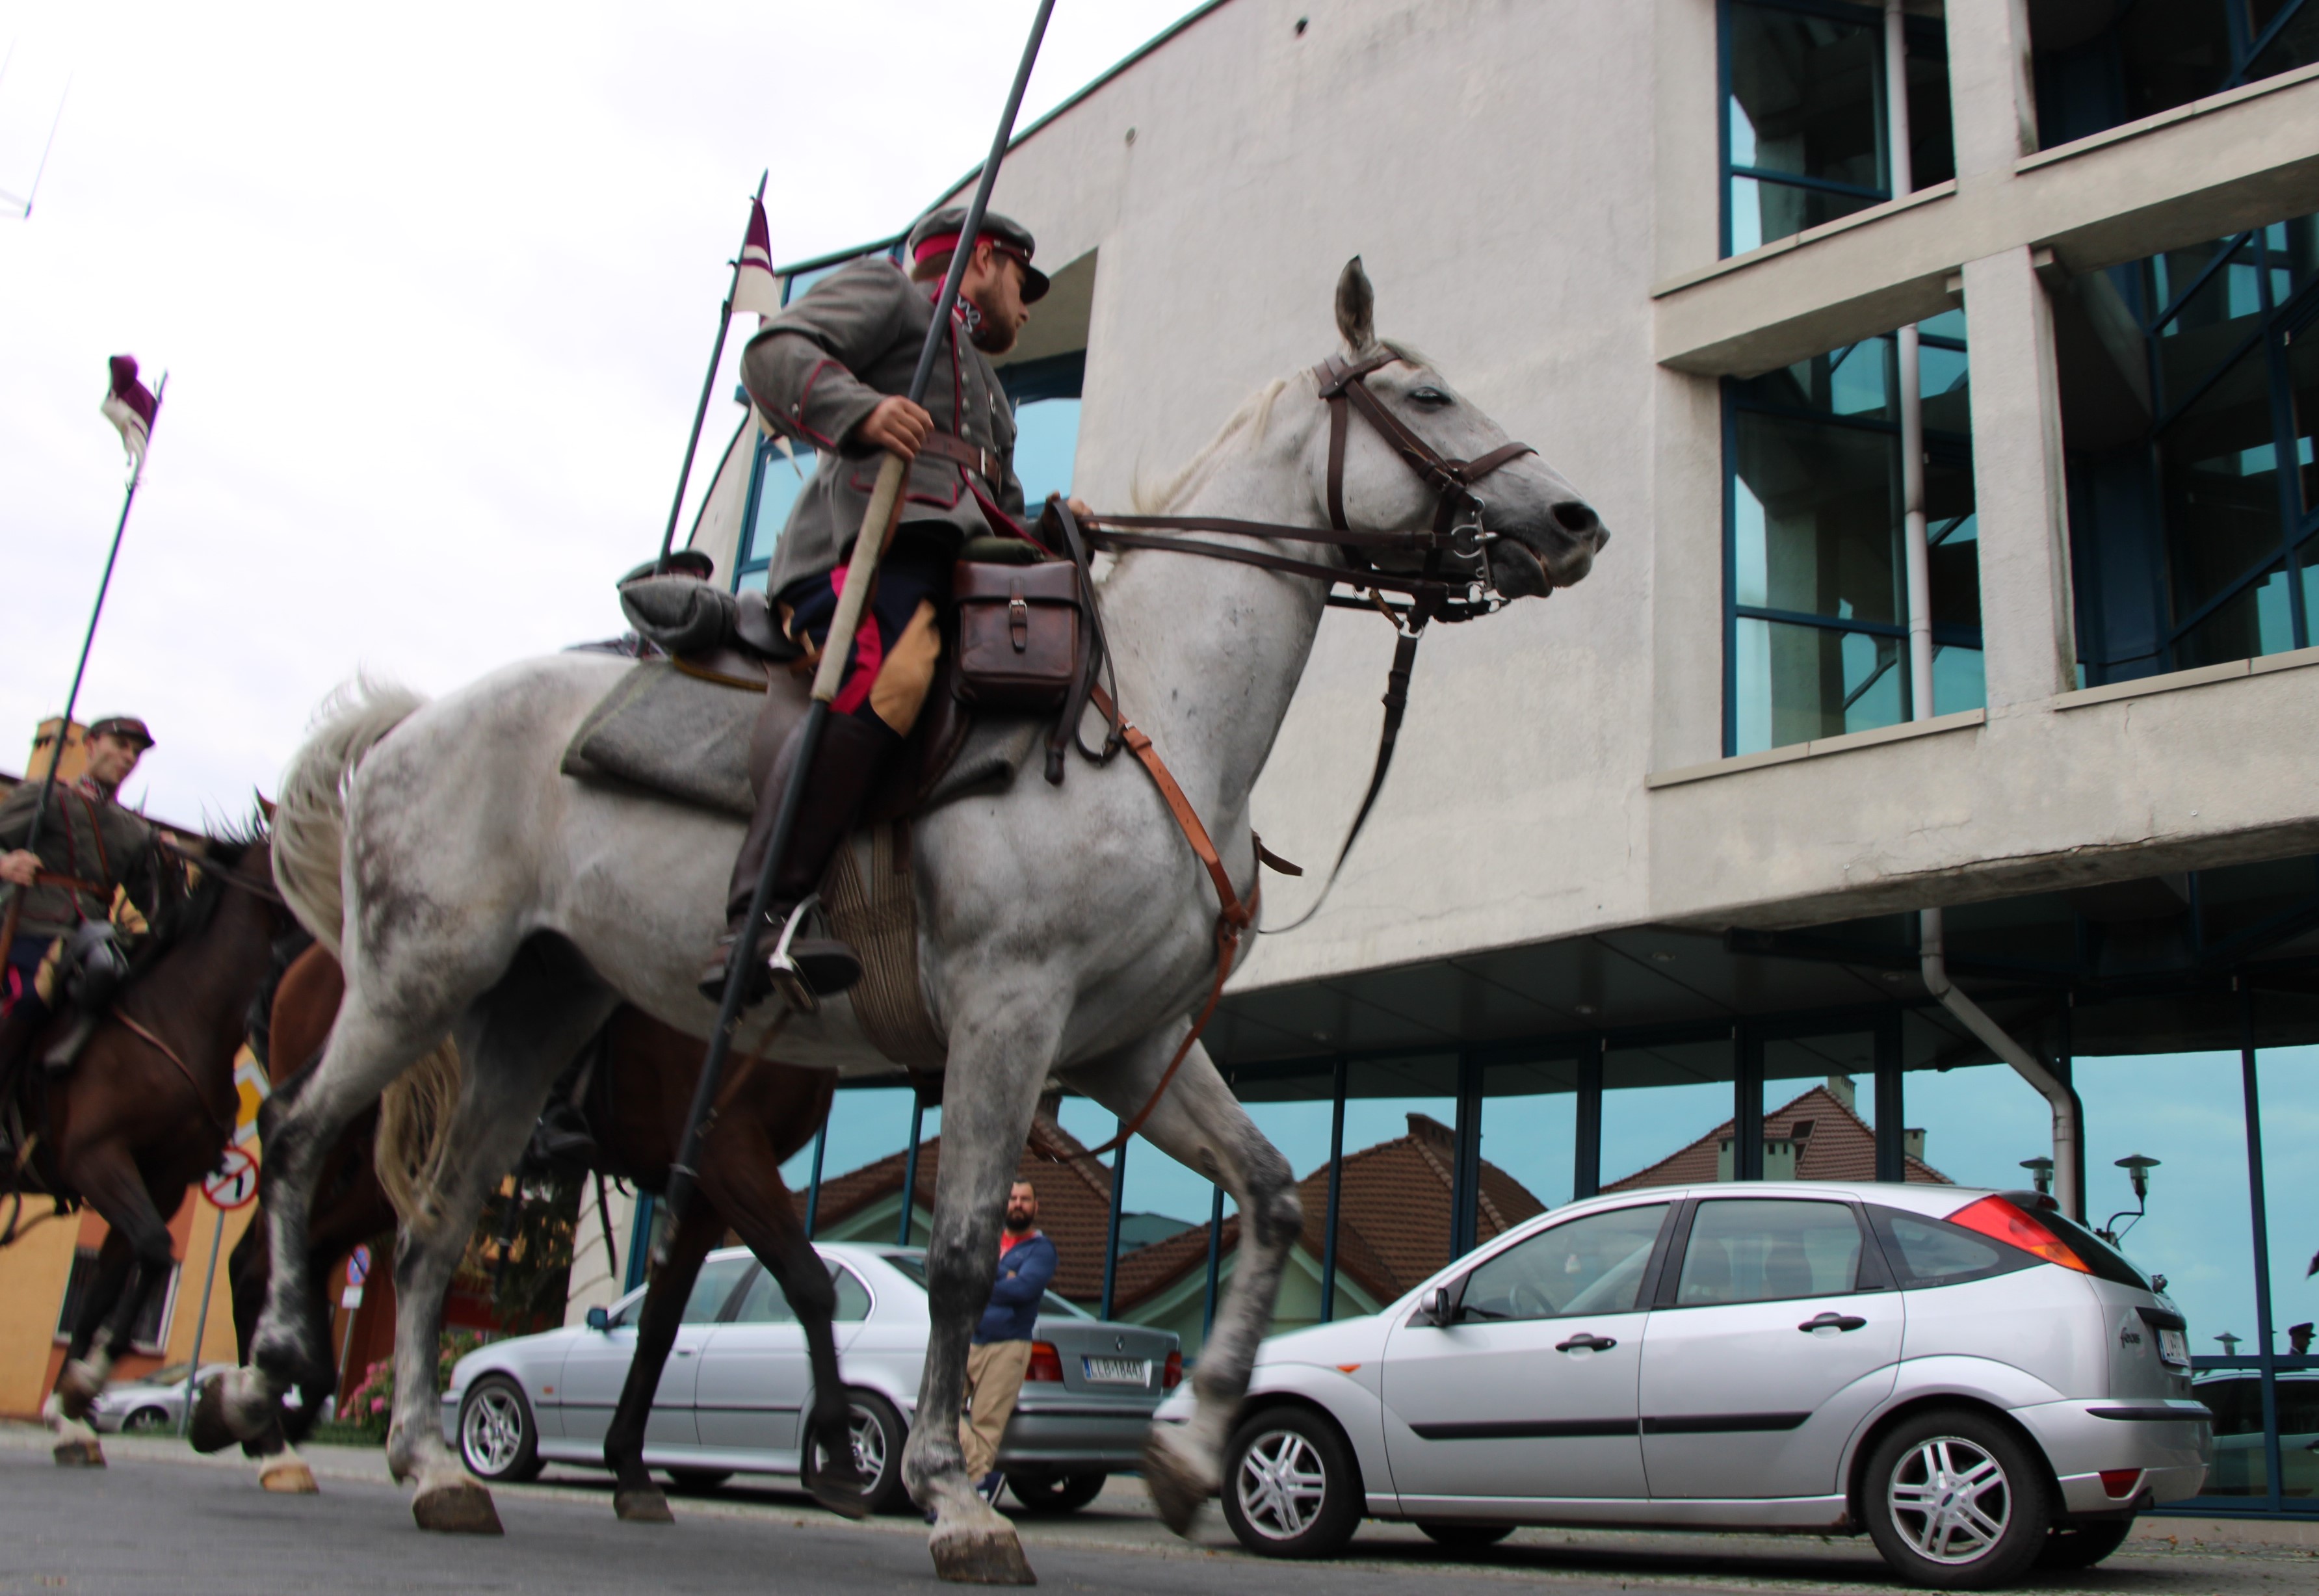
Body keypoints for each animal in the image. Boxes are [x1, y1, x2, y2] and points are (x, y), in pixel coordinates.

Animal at [1, 830, 304, 1466]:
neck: (179, 1017)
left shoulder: (158, 1183)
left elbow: (126, 1270)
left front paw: (71, 1406)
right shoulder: (99, 1160)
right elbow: (154, 1253)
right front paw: (82, 1389)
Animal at [203, 941, 862, 1531]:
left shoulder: (702, 1189)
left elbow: (658, 1327)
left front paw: (630, 1469)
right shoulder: (730, 1150)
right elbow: (807, 1281)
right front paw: (838, 1450)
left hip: (382, 1168)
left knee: (307, 1251)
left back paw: (277, 1416)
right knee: (267, 1244)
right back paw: (269, 1431)